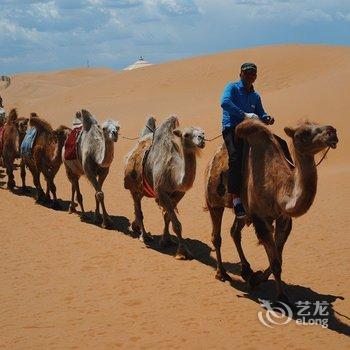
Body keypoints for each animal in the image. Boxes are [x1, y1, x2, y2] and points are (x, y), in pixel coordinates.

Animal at [124, 115, 205, 260]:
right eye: (186, 134)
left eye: (202, 132)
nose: (201, 139)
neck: (174, 176)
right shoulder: (161, 192)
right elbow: (177, 225)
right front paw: (182, 252)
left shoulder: (178, 194)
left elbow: (167, 217)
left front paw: (166, 239)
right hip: (133, 187)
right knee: (139, 210)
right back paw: (144, 236)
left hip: (143, 190)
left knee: (137, 207)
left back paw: (135, 226)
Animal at [204, 119, 338, 302]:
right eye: (302, 133)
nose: (332, 131)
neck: (277, 188)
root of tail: (212, 160)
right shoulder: (261, 219)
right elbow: (275, 262)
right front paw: (281, 296)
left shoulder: (283, 218)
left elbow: (278, 258)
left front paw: (256, 279)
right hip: (214, 201)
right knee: (216, 236)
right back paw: (222, 273)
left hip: (243, 212)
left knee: (234, 232)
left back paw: (246, 269)